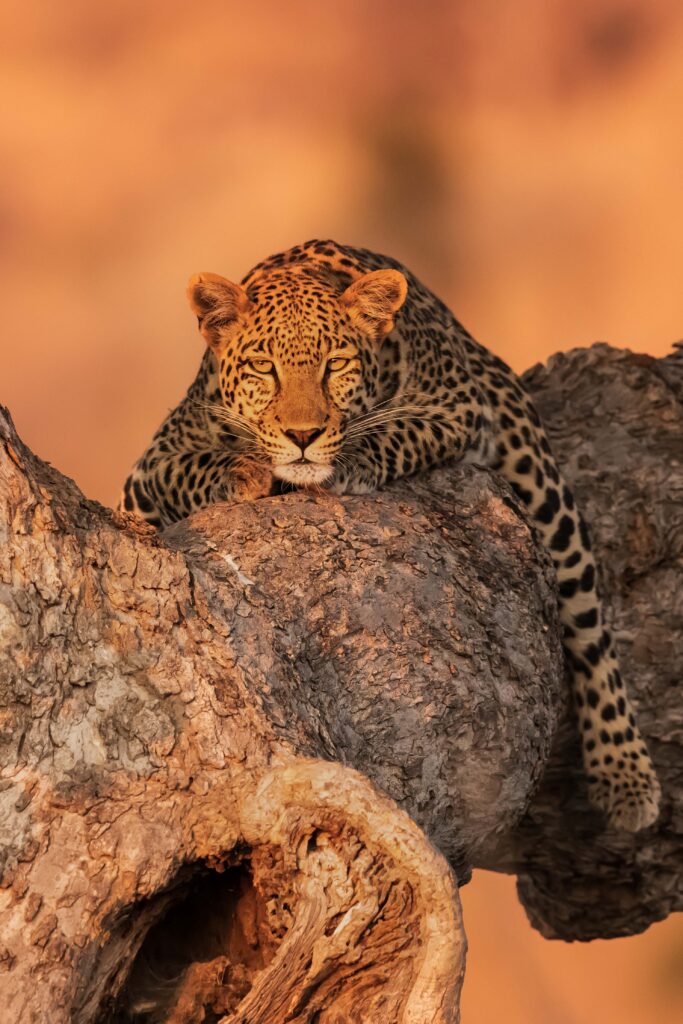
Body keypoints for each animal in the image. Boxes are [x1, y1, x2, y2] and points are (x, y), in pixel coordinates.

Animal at [120, 239, 661, 832]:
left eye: (335, 365)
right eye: (264, 367)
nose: (303, 435)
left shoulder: (455, 407)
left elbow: (399, 429)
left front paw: (346, 459)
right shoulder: (148, 471)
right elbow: (193, 467)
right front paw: (245, 472)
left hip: (535, 471)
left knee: (590, 626)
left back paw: (626, 777)